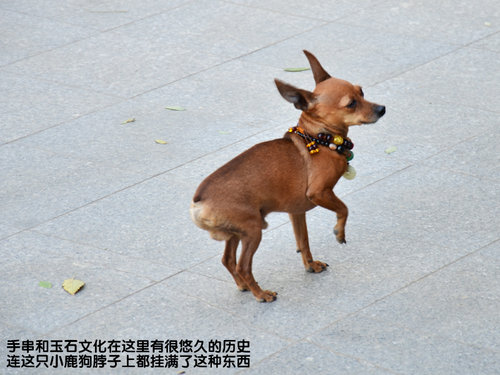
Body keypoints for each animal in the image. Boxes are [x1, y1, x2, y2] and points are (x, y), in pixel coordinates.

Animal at [189, 50, 384, 302]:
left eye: (362, 92)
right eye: (351, 104)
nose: (382, 109)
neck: (321, 139)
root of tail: (198, 201)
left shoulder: (296, 212)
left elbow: (303, 240)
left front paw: (311, 265)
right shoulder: (320, 193)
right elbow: (344, 208)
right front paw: (339, 232)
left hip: (236, 233)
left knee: (228, 260)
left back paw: (243, 286)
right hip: (253, 231)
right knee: (243, 265)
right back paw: (261, 294)